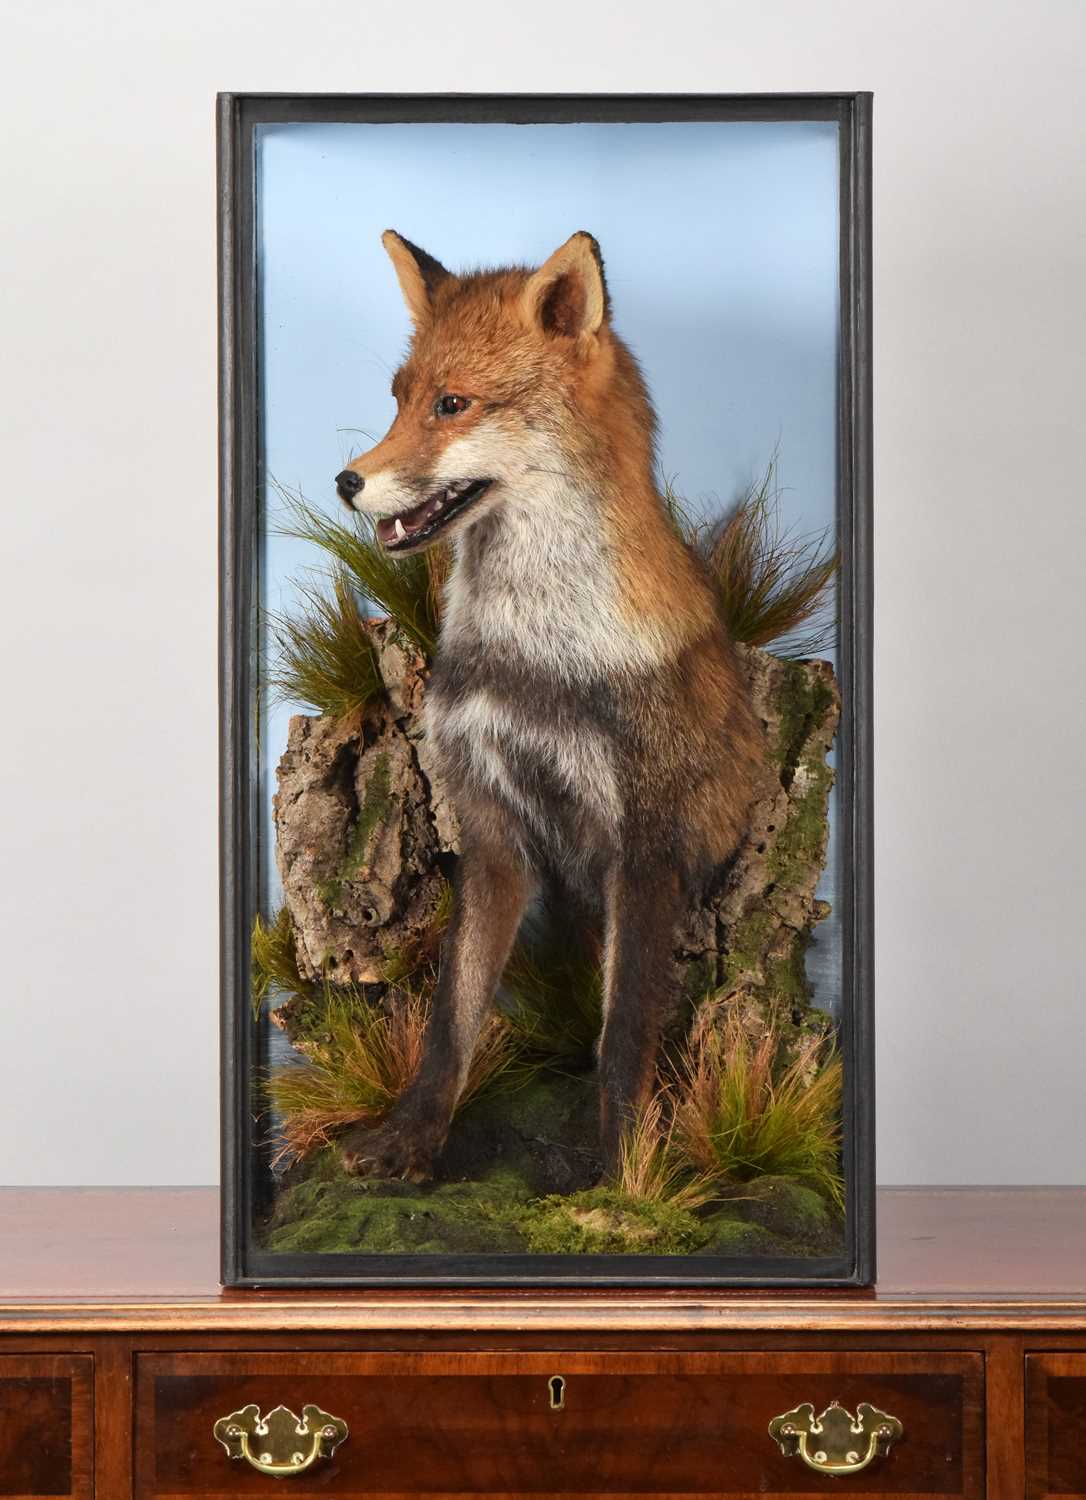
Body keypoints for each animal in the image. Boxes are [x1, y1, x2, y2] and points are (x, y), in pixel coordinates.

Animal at [333, 229, 764, 1182]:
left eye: (453, 404)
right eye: (398, 400)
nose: (346, 480)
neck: (535, 658)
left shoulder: (645, 845)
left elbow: (623, 1038)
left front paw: (623, 1175)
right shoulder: (490, 826)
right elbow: (451, 1024)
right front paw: (411, 1138)